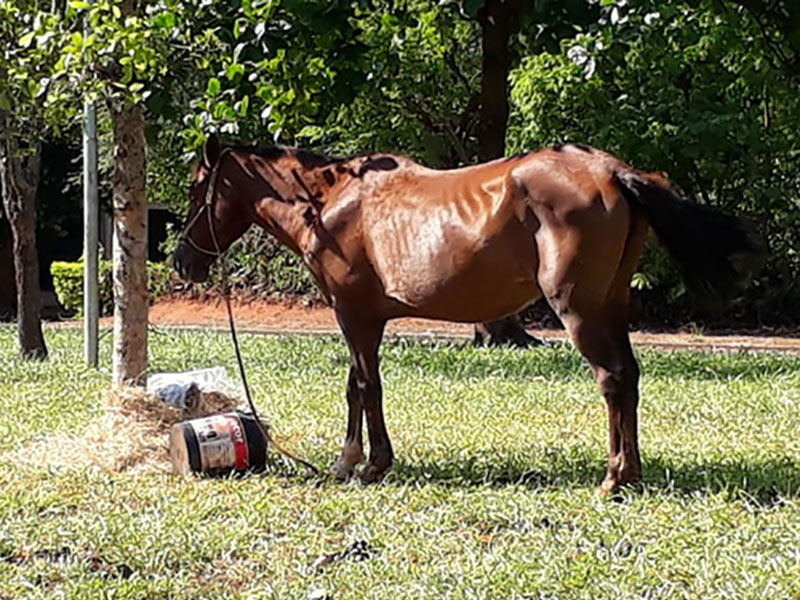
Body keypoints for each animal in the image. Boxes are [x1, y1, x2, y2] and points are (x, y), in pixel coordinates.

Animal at [172, 136, 760, 492]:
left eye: (198, 188)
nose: (182, 261)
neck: (331, 203)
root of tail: (611, 171)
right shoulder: (361, 318)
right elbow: (358, 387)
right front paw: (354, 460)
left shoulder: (354, 316)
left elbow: (365, 387)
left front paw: (366, 463)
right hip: (610, 306)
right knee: (630, 379)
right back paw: (629, 474)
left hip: (580, 310)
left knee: (613, 379)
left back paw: (614, 479)